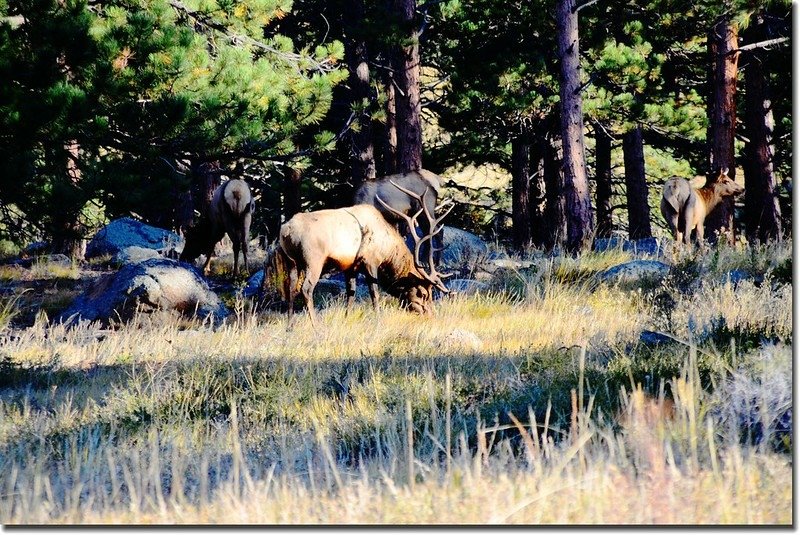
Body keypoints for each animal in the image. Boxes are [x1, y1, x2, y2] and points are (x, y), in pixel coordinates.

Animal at [274, 183, 450, 326]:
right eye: (423, 294)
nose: (431, 316)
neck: (387, 250)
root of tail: (287, 231)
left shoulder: (350, 266)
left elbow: (350, 294)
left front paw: (346, 319)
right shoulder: (370, 261)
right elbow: (375, 293)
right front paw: (378, 321)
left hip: (291, 261)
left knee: (290, 289)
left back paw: (289, 327)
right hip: (313, 260)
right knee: (306, 289)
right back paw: (317, 327)